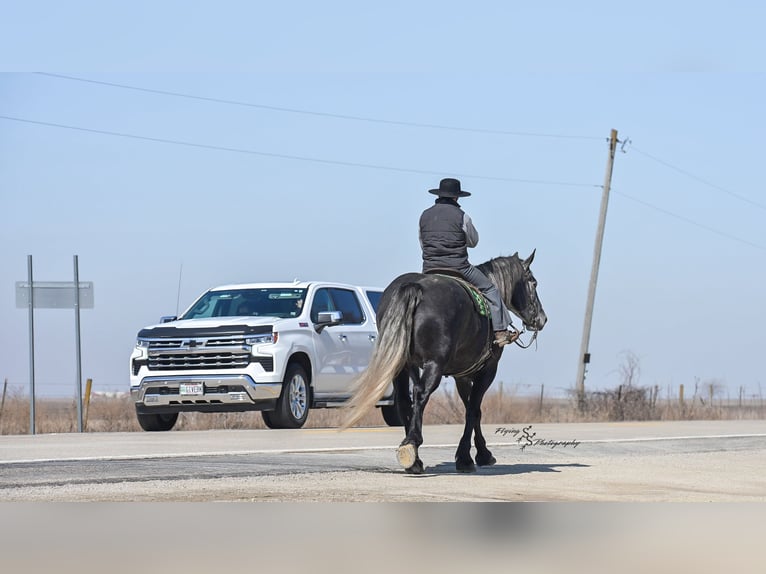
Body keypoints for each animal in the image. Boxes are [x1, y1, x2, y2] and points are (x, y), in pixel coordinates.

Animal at [341, 251, 547, 474]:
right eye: (534, 282)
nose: (542, 319)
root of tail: (414, 287)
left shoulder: (462, 377)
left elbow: (472, 409)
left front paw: (479, 454)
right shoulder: (487, 371)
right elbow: (474, 411)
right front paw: (469, 457)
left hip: (402, 366)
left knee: (405, 400)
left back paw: (414, 459)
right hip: (434, 365)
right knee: (421, 393)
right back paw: (412, 444)